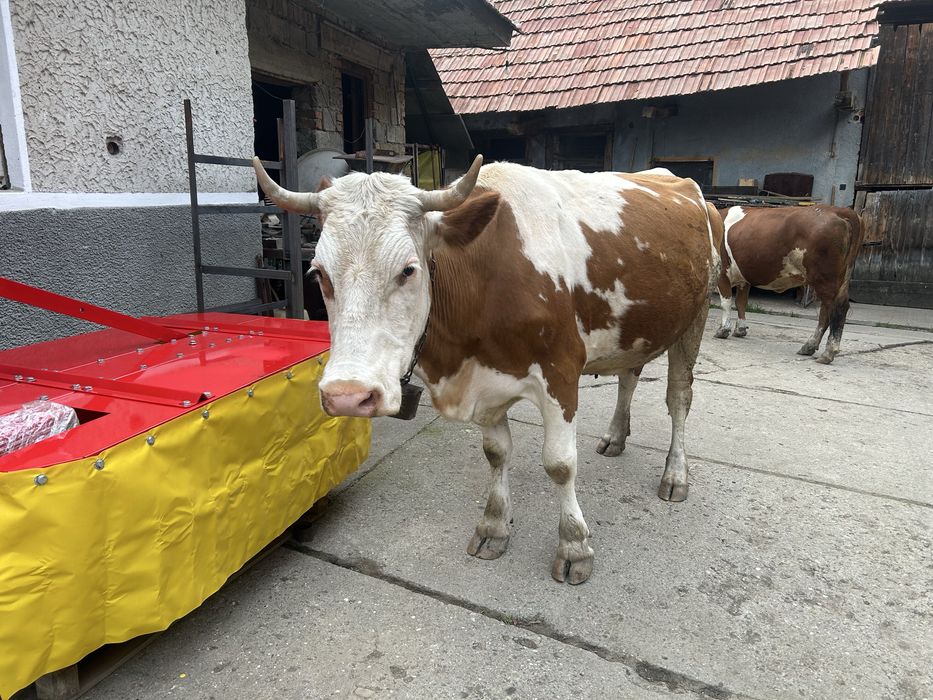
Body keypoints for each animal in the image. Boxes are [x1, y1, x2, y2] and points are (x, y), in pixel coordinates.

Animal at [252, 156, 722, 584]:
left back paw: (675, 474)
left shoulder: (560, 373)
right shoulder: (483, 383)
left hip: (694, 317)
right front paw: (494, 527)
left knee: (679, 398)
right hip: (637, 329)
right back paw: (615, 436)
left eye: (408, 269)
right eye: (318, 273)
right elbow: (496, 453)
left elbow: (560, 464)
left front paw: (574, 545)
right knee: (629, 376)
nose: (348, 395)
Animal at [714, 205, 864, 364]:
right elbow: (741, 302)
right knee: (826, 310)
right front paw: (740, 329)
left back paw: (827, 352)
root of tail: (838, 210)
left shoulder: (722, 272)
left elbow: (726, 302)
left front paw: (723, 330)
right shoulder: (744, 278)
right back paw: (809, 346)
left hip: (826, 278)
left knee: (836, 308)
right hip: (841, 277)